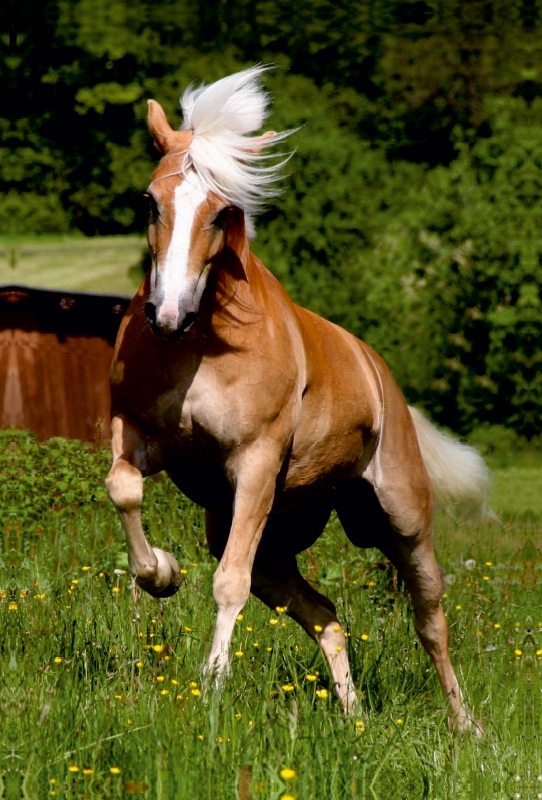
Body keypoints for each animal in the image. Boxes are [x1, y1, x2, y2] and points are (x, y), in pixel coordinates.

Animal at [106, 69, 488, 732]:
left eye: (222, 212)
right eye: (151, 201)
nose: (167, 314)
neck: (204, 342)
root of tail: (379, 372)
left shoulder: (256, 463)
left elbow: (227, 584)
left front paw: (212, 686)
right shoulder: (137, 433)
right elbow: (123, 489)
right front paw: (162, 573)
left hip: (402, 520)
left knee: (431, 619)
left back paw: (465, 726)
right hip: (274, 539)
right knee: (325, 614)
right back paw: (353, 716)